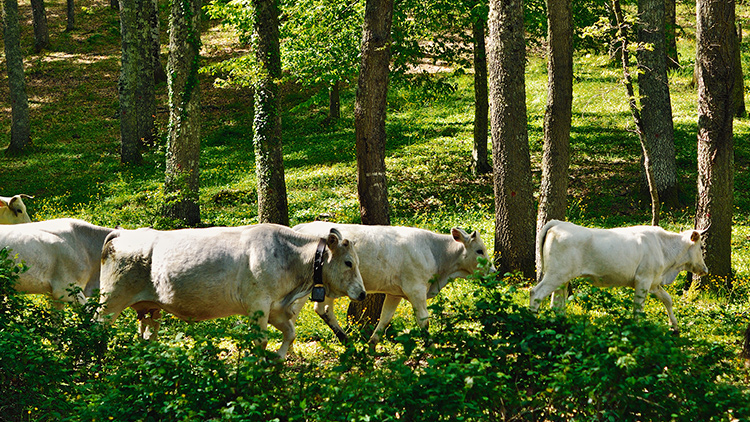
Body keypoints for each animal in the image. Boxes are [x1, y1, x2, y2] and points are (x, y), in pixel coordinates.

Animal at [98, 224, 368, 360]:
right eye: (348, 263)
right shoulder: (258, 305)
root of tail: (122, 232)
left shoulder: (275, 307)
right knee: (96, 328)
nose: (363, 293)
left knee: (147, 338)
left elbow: (290, 333)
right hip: (110, 301)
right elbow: (261, 340)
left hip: (150, 308)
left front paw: (277, 359)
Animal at [296, 223, 500, 344]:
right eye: (480, 251)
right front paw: (430, 347)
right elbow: (424, 320)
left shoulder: (395, 293)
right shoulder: (416, 289)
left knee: (322, 310)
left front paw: (371, 346)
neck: (435, 253)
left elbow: (385, 319)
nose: (493, 271)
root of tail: (302, 226)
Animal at [528, 221, 712, 330]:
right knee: (536, 293)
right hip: (556, 274)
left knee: (557, 303)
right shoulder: (643, 280)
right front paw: (637, 328)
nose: (705, 269)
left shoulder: (654, 282)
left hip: (562, 278)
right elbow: (638, 307)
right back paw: (531, 322)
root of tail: (558, 223)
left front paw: (674, 326)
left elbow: (668, 299)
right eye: (701, 247)